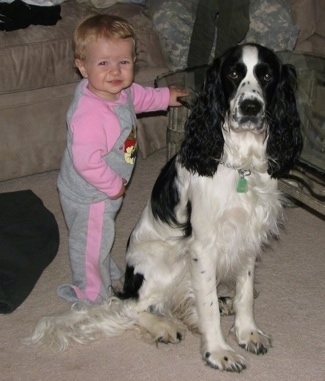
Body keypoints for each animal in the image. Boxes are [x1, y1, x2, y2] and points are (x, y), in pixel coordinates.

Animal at [25, 43, 302, 372]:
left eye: (268, 76)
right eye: (233, 74)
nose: (250, 108)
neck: (241, 166)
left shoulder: (249, 233)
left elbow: (245, 291)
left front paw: (247, 333)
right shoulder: (202, 246)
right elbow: (207, 306)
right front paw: (218, 352)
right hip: (168, 262)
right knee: (132, 306)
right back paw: (162, 326)